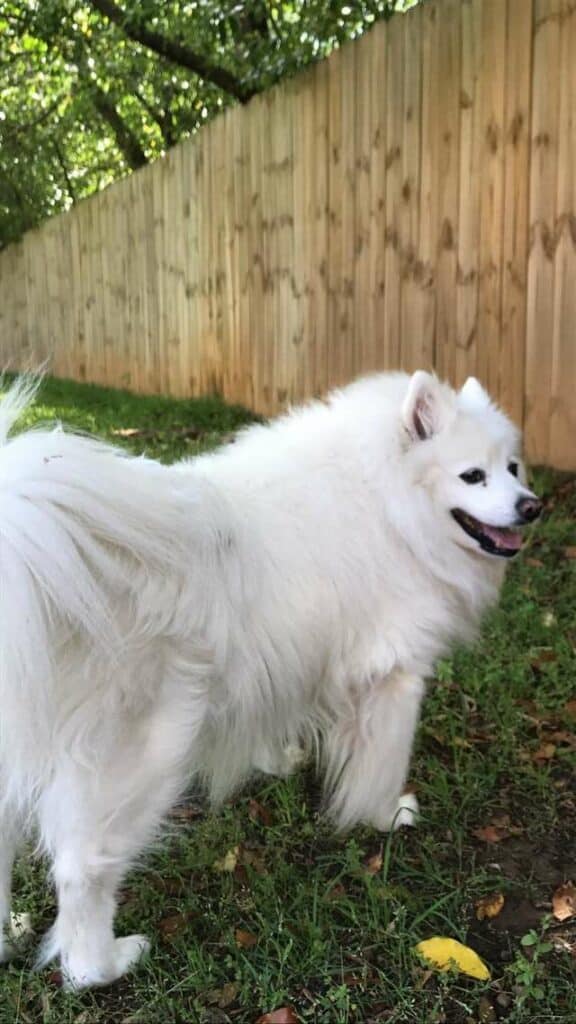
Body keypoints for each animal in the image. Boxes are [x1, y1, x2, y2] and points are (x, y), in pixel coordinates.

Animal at [0, 368, 537, 983]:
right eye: (473, 476)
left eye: (512, 468)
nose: (531, 507)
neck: (388, 504)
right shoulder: (396, 676)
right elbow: (384, 763)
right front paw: (385, 815)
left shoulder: (291, 660)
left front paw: (278, 761)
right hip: (137, 762)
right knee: (82, 870)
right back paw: (103, 963)